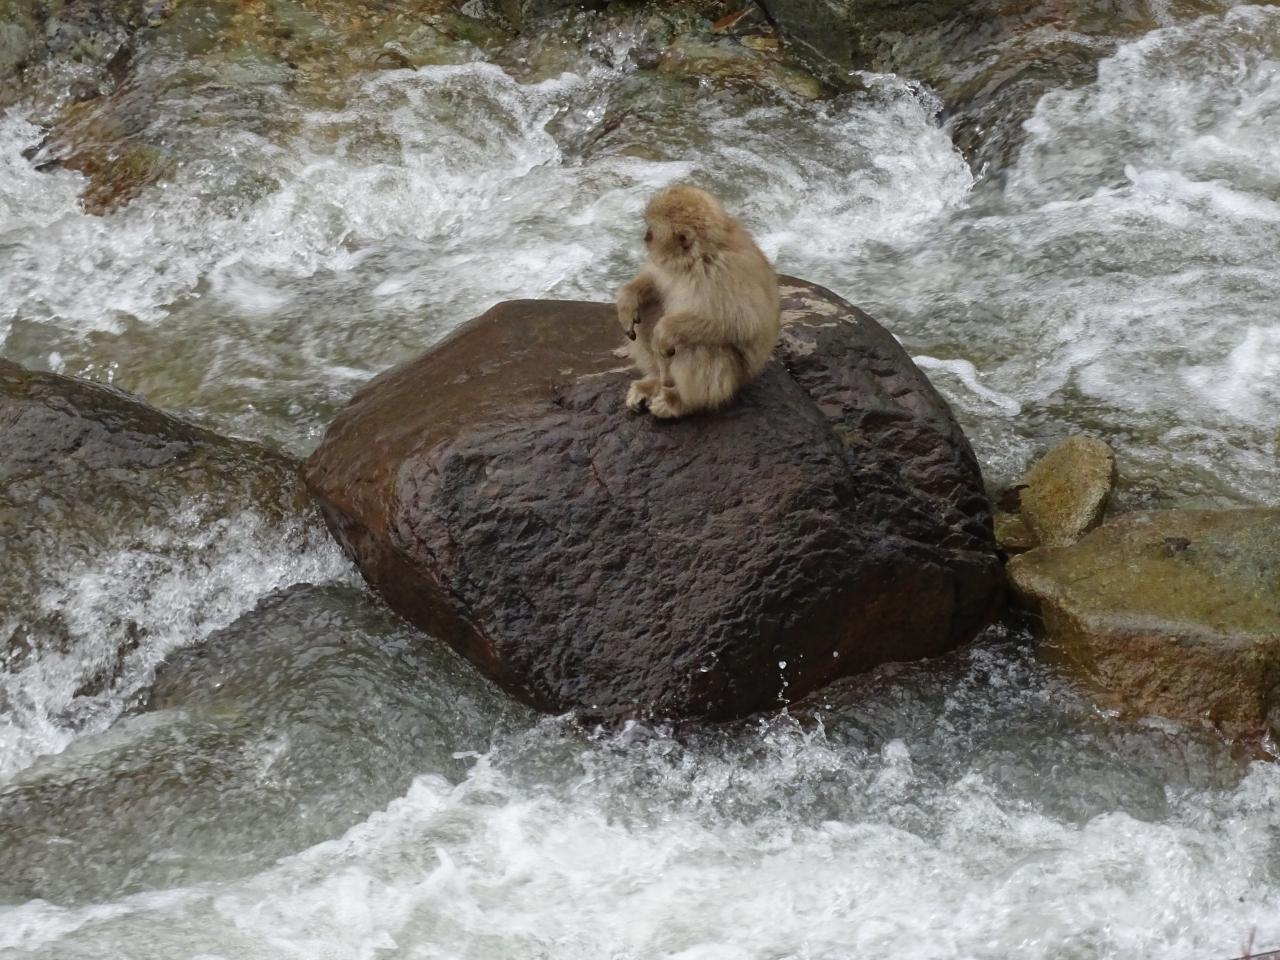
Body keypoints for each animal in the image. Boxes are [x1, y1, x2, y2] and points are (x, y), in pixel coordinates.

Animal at [614, 185, 781, 419]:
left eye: (652, 231)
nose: (645, 237)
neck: (696, 257)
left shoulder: (720, 273)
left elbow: (742, 323)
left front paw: (663, 332)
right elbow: (654, 279)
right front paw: (627, 298)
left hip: (732, 381)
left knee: (700, 345)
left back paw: (682, 403)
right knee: (647, 310)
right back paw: (655, 382)